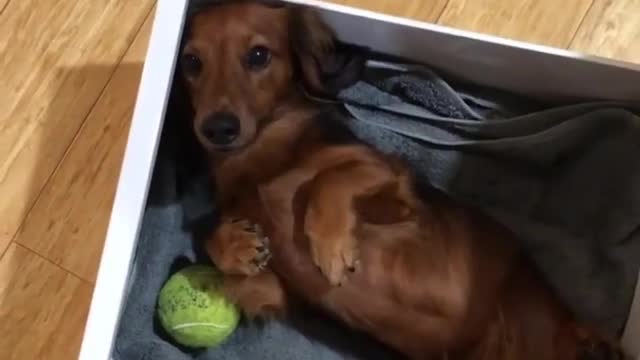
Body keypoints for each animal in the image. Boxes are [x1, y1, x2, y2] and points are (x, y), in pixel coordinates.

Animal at [180, 0, 624, 360]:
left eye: (258, 55)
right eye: (191, 63)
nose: (218, 129)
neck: (264, 158)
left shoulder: (395, 190)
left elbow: (330, 179)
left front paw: (332, 247)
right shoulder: (272, 290)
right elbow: (225, 249)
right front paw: (235, 245)